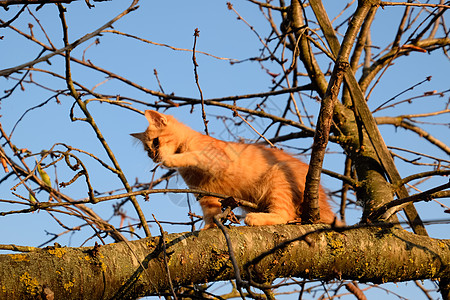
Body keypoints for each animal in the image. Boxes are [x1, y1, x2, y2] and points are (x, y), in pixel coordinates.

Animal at [132, 110, 336, 230]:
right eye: (148, 152)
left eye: (156, 142)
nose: (155, 157)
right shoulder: (205, 194)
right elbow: (211, 215)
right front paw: (209, 228)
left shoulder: (217, 159)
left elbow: (194, 155)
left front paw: (172, 159)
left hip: (278, 179)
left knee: (285, 215)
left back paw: (255, 219)